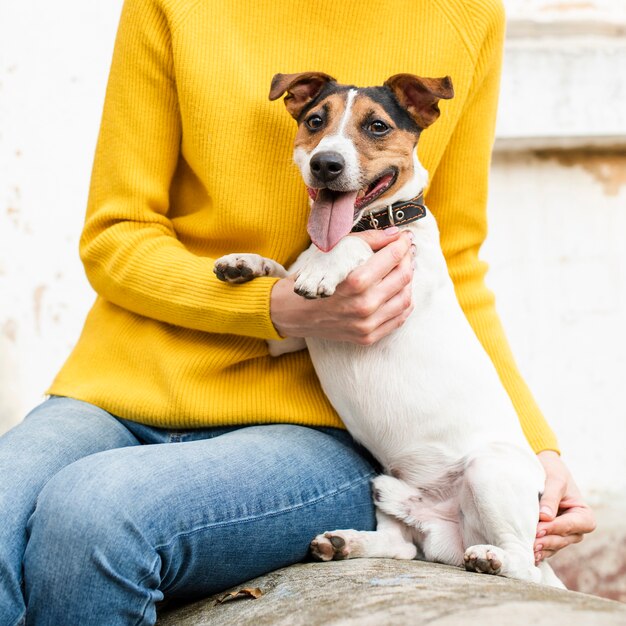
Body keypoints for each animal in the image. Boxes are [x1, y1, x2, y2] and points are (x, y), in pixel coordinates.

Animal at [212, 73, 564, 584]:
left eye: (377, 126)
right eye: (315, 121)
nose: (326, 164)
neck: (364, 223)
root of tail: (448, 525)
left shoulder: (403, 290)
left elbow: (355, 251)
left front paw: (329, 266)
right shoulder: (292, 333)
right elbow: (282, 277)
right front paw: (246, 264)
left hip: (488, 472)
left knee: (521, 567)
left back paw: (491, 558)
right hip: (386, 485)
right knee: (403, 547)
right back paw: (344, 543)